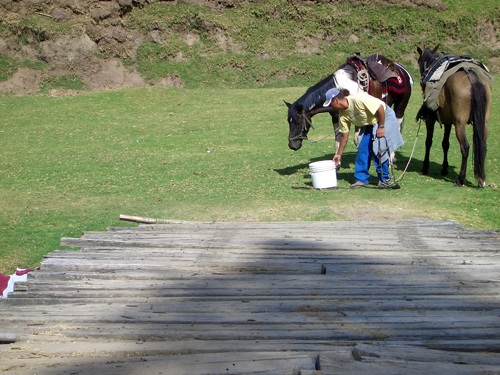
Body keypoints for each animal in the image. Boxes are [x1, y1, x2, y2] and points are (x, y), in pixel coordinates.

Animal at [414, 46, 492, 188]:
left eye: (419, 61)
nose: (422, 78)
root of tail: (472, 76)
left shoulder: (430, 120)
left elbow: (428, 142)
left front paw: (424, 167)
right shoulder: (449, 122)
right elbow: (445, 144)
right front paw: (444, 168)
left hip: (460, 124)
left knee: (465, 147)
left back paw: (460, 179)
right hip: (484, 122)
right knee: (483, 146)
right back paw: (481, 179)